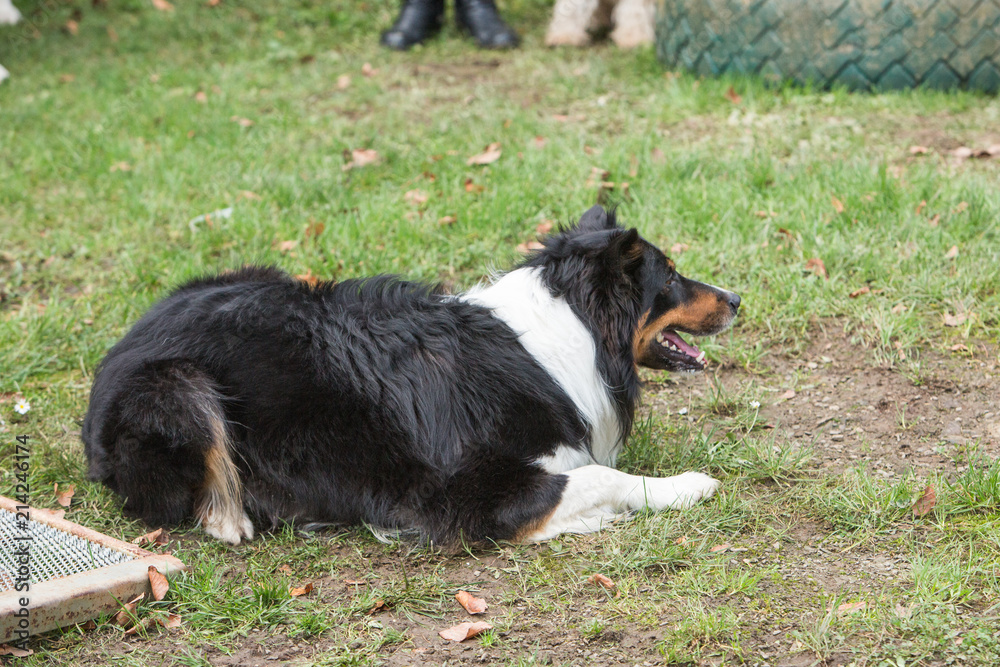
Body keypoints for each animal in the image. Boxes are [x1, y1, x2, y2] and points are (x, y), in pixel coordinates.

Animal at [84, 206, 744, 544]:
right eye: (671, 276)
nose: (738, 298)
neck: (573, 331)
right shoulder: (465, 494)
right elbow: (603, 476)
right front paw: (686, 485)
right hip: (178, 387)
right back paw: (234, 514)